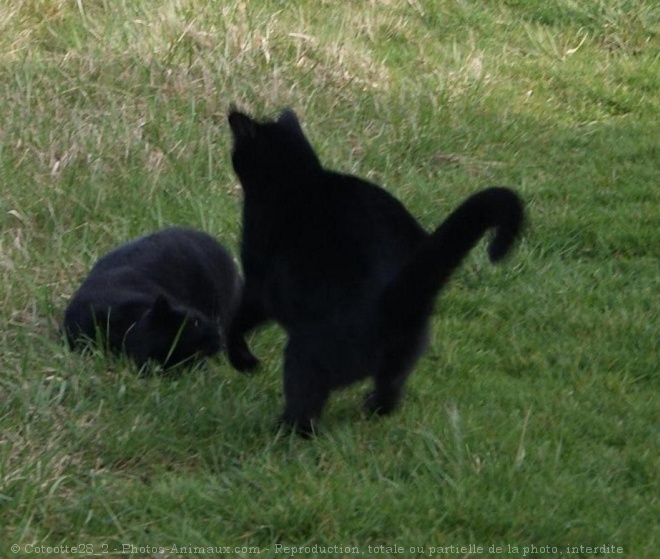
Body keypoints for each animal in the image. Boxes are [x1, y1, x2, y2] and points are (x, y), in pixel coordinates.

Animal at [227, 107, 524, 436]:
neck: (299, 177)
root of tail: (397, 301)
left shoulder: (260, 281)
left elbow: (237, 318)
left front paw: (242, 359)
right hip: (402, 355)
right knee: (390, 390)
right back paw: (372, 408)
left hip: (304, 353)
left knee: (305, 404)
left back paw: (280, 431)